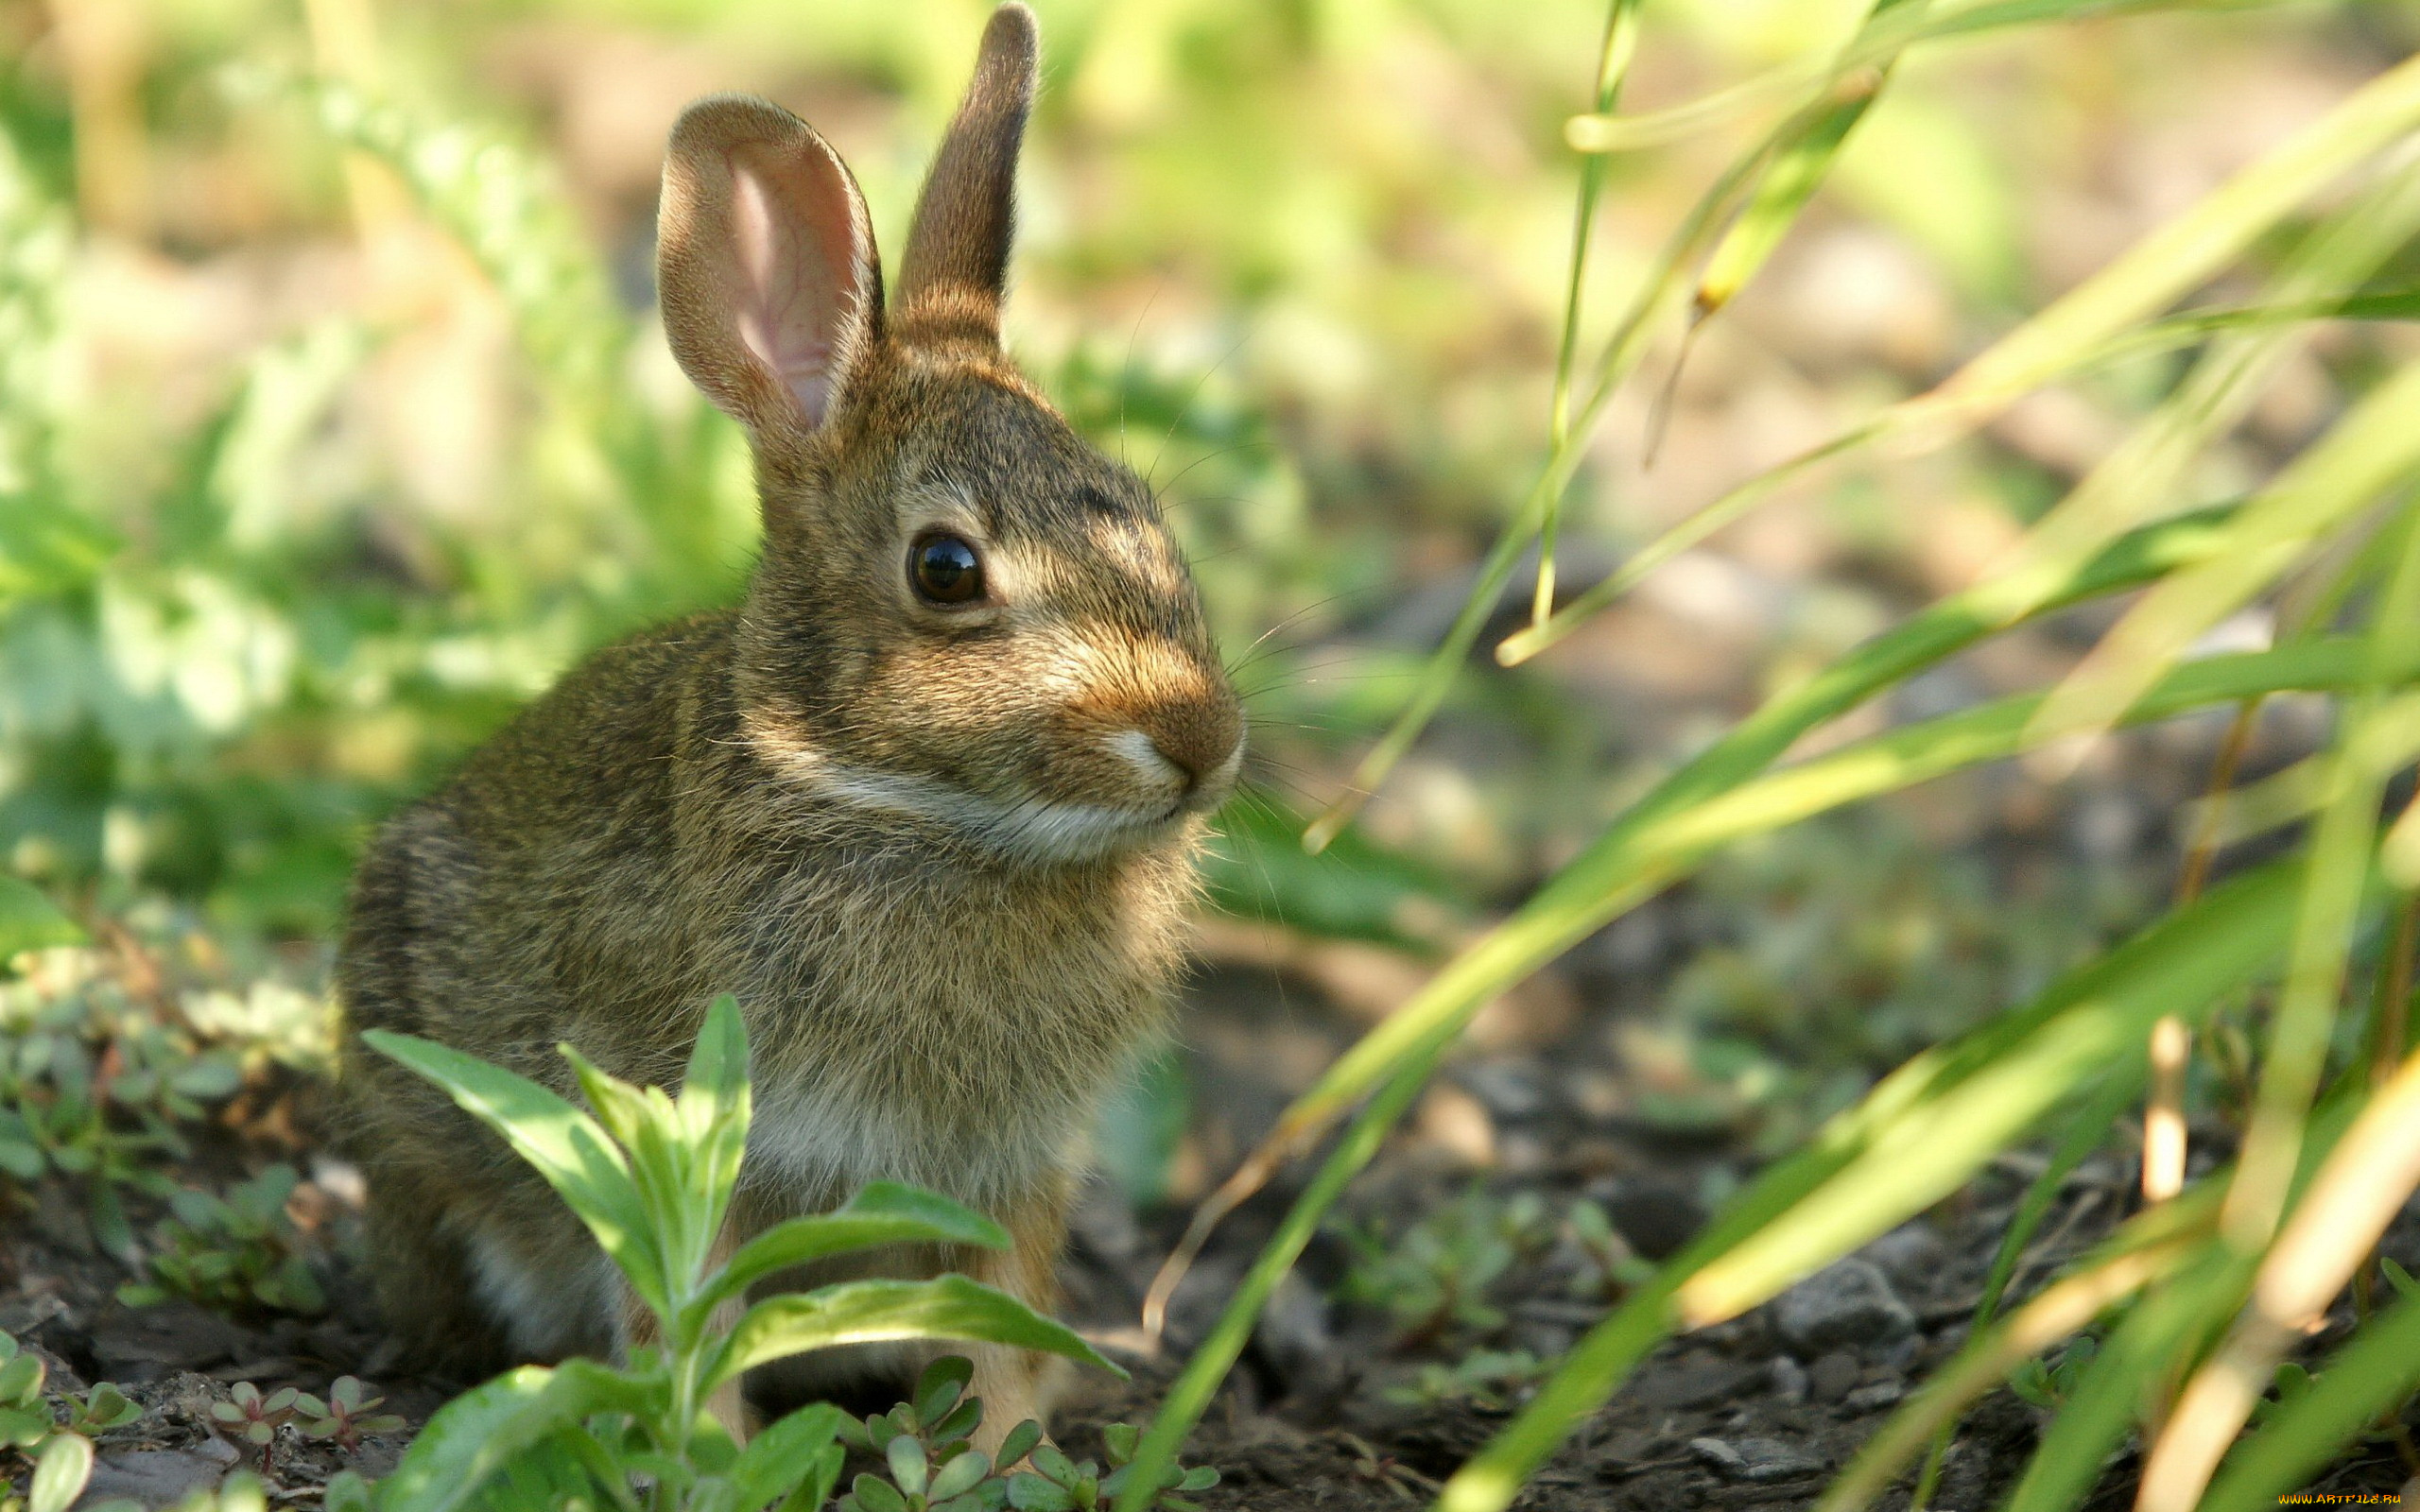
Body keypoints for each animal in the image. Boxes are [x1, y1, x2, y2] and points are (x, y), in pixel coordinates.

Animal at [331, 0, 1238, 1441]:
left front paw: (1006, 1452)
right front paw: (710, 1451)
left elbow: (1002, 1318)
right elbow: (689, 1316)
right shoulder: (684, 1126)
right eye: (946, 571)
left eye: (1148, 510)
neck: (907, 807)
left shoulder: (1012, 1170)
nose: (1204, 743)